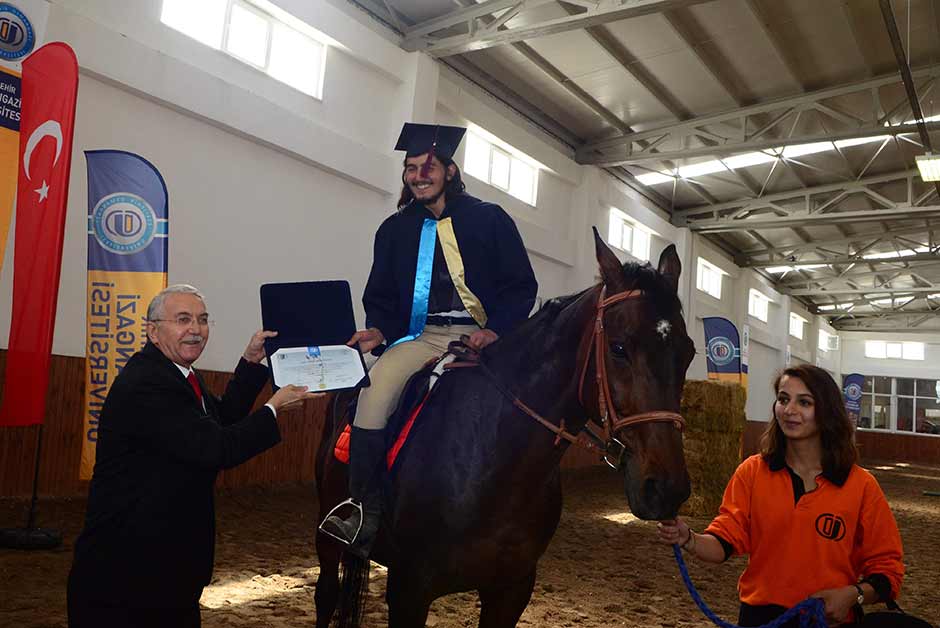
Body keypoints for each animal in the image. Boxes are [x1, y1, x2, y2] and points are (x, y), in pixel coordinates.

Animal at [312, 232, 692, 628]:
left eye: (689, 353)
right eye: (618, 348)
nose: (666, 489)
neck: (491, 459)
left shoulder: (511, 591)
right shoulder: (409, 590)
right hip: (328, 535)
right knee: (327, 594)